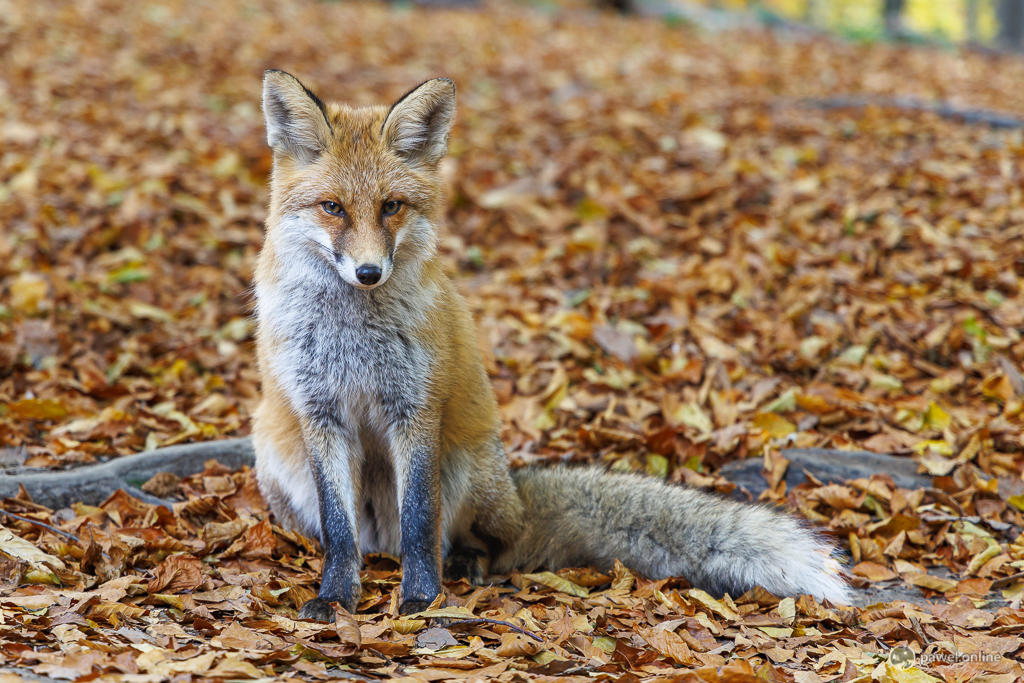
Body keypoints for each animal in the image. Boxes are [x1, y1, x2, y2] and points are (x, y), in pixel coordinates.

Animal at [249, 72, 847, 622]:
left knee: (485, 544)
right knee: (358, 537)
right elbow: (339, 531)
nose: (369, 273)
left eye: (391, 206)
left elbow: (421, 523)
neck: (352, 334)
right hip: (277, 458)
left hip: (463, 466)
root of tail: (515, 491)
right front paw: (334, 597)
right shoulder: (320, 414)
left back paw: (464, 565)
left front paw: (421, 600)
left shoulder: (415, 411)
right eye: (333, 208)